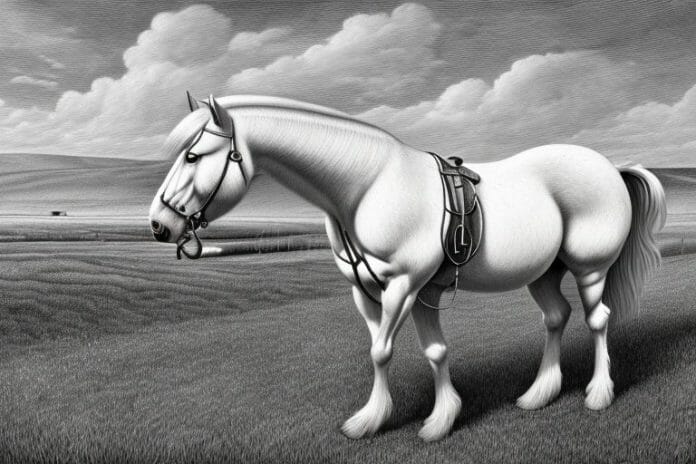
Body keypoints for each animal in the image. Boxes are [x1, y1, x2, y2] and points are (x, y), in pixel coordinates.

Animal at [149, 93, 666, 442]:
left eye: (193, 156)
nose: (158, 224)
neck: (368, 186)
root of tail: (609, 167)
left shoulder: (404, 285)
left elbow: (381, 351)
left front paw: (370, 420)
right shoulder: (382, 291)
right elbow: (432, 350)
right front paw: (442, 418)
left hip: (590, 269)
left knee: (597, 320)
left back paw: (599, 393)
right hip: (543, 273)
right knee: (556, 317)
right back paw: (539, 393)